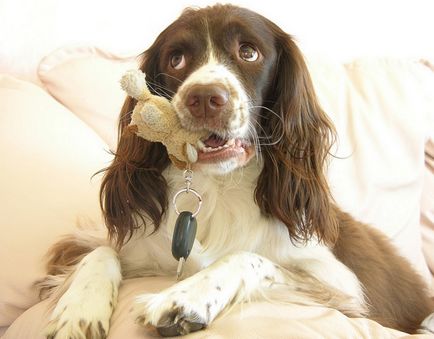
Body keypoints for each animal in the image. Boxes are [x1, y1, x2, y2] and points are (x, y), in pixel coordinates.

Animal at [40, 3, 434, 338]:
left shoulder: (341, 289)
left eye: (249, 52)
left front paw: (185, 298)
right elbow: (99, 251)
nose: (204, 98)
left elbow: (248, 257)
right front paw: (79, 310)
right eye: (177, 59)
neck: (219, 185)